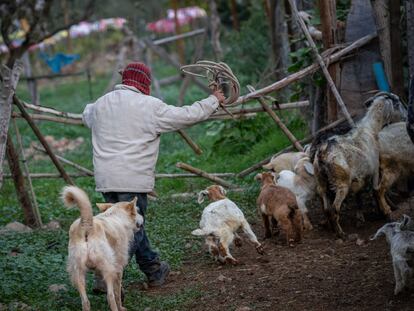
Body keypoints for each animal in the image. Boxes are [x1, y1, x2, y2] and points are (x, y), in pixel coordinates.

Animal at [316, 92, 406, 239]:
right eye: (398, 103)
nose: (405, 116)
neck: (370, 129)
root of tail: (323, 153)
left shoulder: (360, 177)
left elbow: (359, 196)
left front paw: (361, 218)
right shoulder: (375, 171)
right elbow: (376, 191)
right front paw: (385, 211)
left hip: (321, 183)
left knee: (326, 208)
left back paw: (330, 227)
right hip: (341, 183)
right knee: (335, 208)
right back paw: (341, 233)